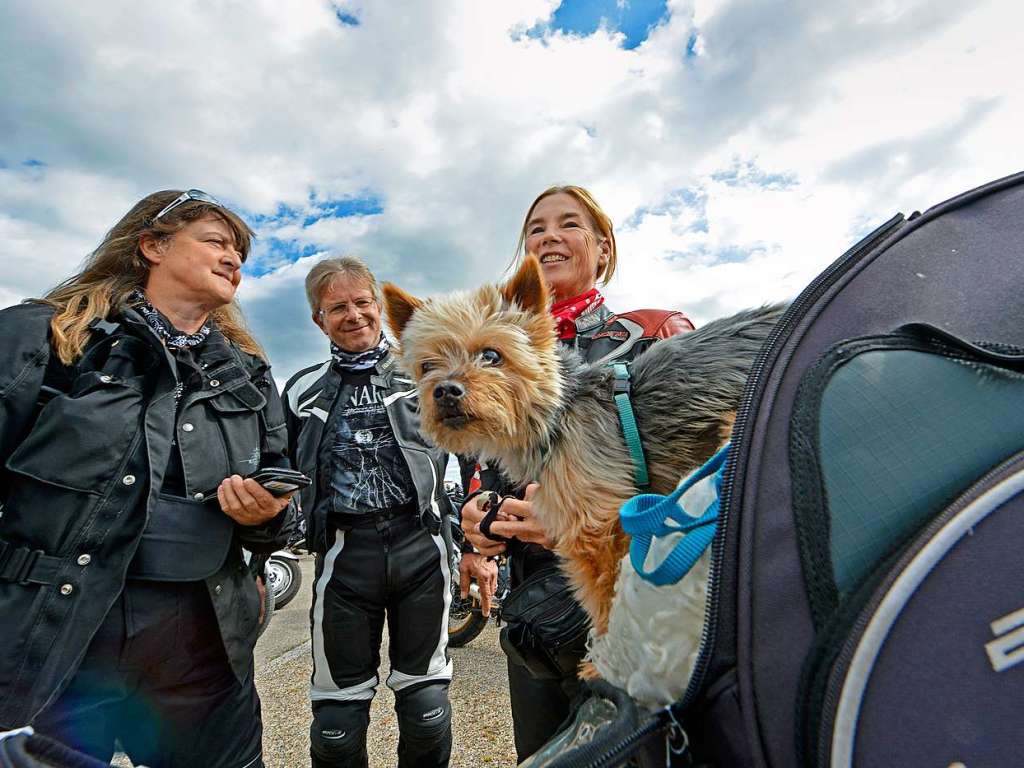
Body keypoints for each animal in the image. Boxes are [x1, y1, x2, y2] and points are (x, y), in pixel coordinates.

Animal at [385, 256, 782, 638]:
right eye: (427, 366)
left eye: (492, 356)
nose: (445, 391)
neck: (558, 408)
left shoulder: (601, 529)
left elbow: (606, 601)